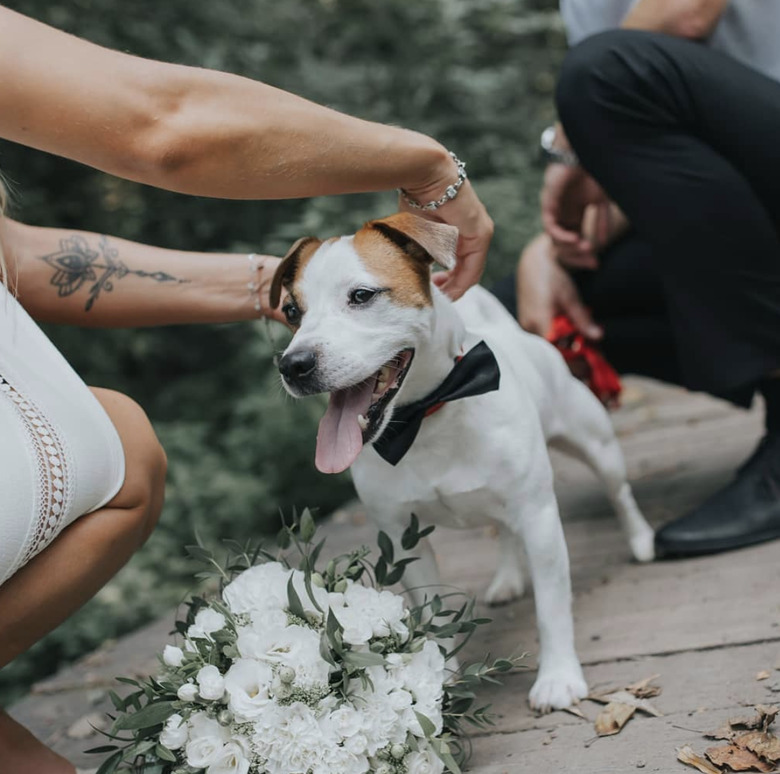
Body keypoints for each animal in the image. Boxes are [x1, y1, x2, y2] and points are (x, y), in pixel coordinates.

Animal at [272, 214, 656, 716]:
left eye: (361, 296)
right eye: (292, 312)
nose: (293, 364)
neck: (427, 415)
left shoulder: (539, 518)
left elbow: (552, 608)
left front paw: (557, 677)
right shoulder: (402, 539)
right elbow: (430, 613)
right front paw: (438, 679)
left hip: (596, 444)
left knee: (619, 491)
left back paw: (641, 539)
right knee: (504, 531)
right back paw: (509, 576)